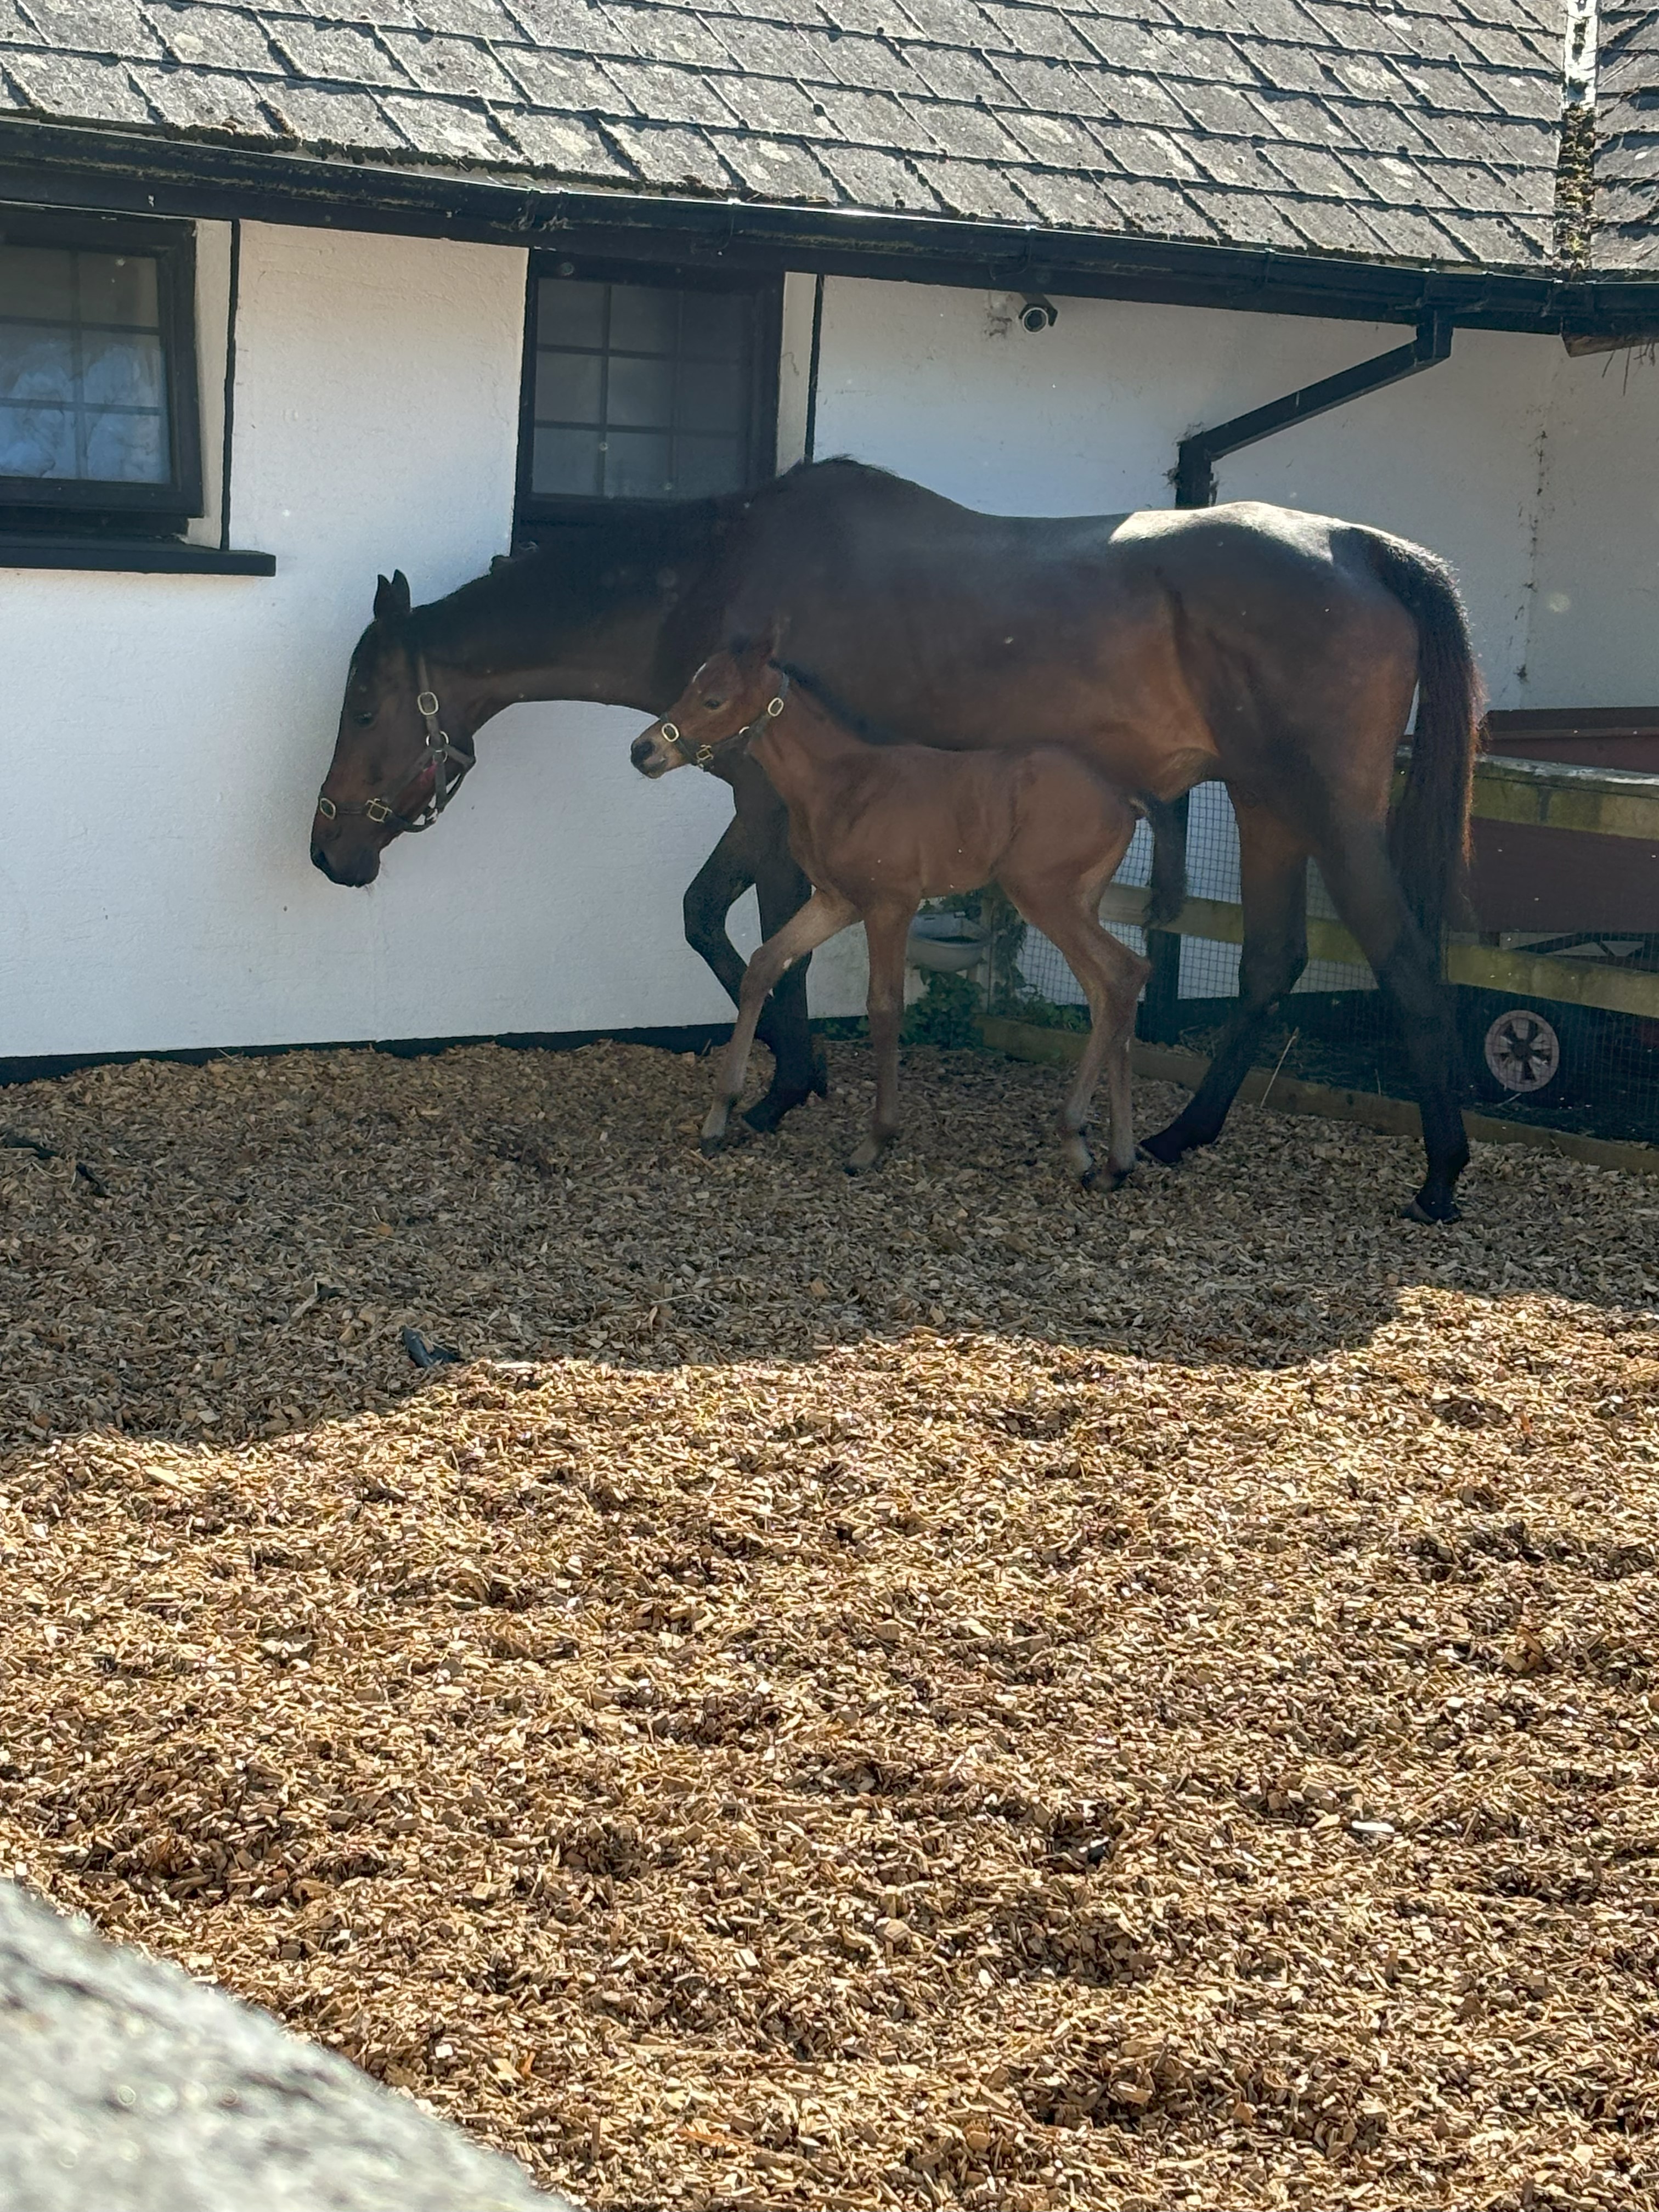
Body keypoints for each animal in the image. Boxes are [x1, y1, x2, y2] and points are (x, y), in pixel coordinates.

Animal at [637, 641, 1159, 1186]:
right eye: (690, 686)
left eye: (713, 700)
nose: (643, 751)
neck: (841, 784)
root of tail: (1124, 798)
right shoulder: (835, 902)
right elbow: (764, 965)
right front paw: (719, 1117)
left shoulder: (890, 906)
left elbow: (884, 1006)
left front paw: (875, 1141)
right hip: (1077, 902)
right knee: (1107, 991)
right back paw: (1102, 1156)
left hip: (1044, 896)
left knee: (1124, 973)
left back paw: (1088, 1142)